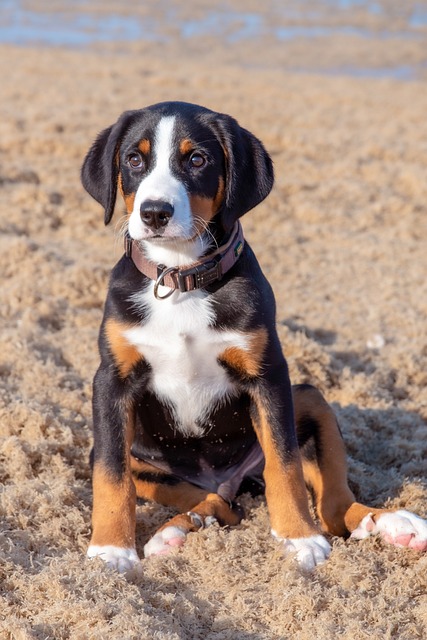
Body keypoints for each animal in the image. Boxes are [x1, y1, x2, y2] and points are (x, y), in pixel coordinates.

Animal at [81, 101, 427, 576]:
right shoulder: (112, 382)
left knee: (335, 507)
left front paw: (299, 537)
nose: (154, 213)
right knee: (217, 502)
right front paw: (112, 549)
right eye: (134, 159)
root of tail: (226, 478)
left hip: (309, 397)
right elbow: (111, 474)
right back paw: (178, 530)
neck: (181, 278)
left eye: (197, 160)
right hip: (147, 460)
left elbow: (285, 466)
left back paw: (390, 522)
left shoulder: (268, 377)